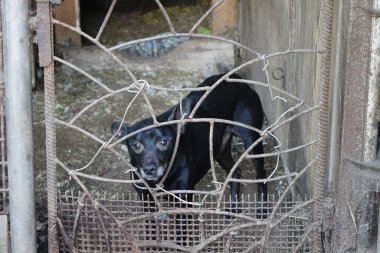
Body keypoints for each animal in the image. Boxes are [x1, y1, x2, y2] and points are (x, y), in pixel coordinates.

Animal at [112, 73, 268, 213]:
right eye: (136, 145)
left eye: (164, 142)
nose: (149, 169)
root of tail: (238, 79)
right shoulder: (146, 199)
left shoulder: (184, 198)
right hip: (220, 150)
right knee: (235, 171)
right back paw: (233, 207)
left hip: (252, 141)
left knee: (262, 175)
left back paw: (262, 209)